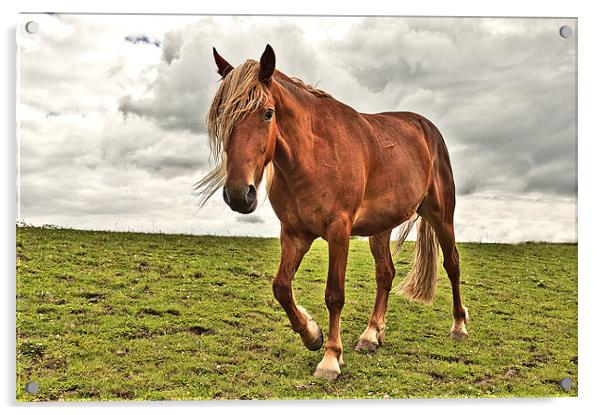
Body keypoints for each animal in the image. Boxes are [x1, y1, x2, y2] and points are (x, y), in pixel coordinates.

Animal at [197, 44, 468, 380]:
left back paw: (458, 326)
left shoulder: (339, 230)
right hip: (381, 228)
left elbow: (334, 295)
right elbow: (281, 287)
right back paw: (371, 334)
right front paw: (311, 334)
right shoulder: (294, 233)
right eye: (222, 116)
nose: (238, 194)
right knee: (385, 274)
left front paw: (330, 359)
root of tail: (427, 128)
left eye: (267, 113)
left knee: (452, 264)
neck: (311, 156)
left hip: (441, 215)